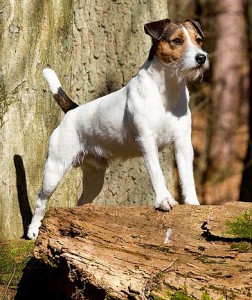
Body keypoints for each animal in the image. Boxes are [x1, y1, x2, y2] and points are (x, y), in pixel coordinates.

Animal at [27, 18, 209, 239]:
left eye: (198, 39)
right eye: (177, 40)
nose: (201, 58)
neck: (167, 91)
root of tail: (72, 110)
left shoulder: (183, 143)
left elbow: (187, 177)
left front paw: (192, 204)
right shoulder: (147, 141)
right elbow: (157, 172)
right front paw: (164, 200)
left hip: (95, 178)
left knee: (81, 201)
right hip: (55, 168)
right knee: (40, 199)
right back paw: (33, 230)